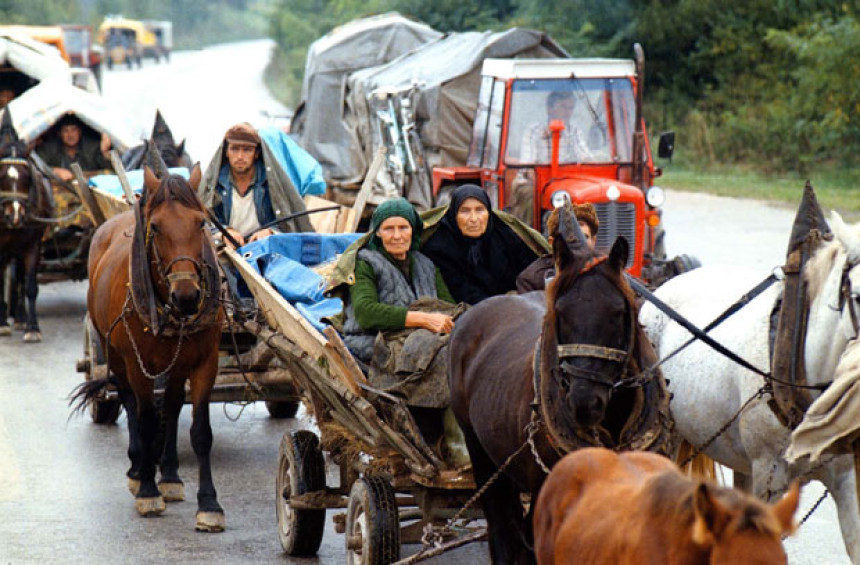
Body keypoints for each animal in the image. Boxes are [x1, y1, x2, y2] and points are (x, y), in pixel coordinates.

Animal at [71, 163, 225, 528]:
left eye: (201, 222)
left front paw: (209, 504)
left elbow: (200, 431)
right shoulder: (137, 363)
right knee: (130, 402)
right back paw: (138, 467)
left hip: (177, 362)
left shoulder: (205, 362)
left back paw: (168, 474)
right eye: (155, 226)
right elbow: (145, 418)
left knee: (171, 405)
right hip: (114, 354)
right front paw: (147, 490)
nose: (187, 296)